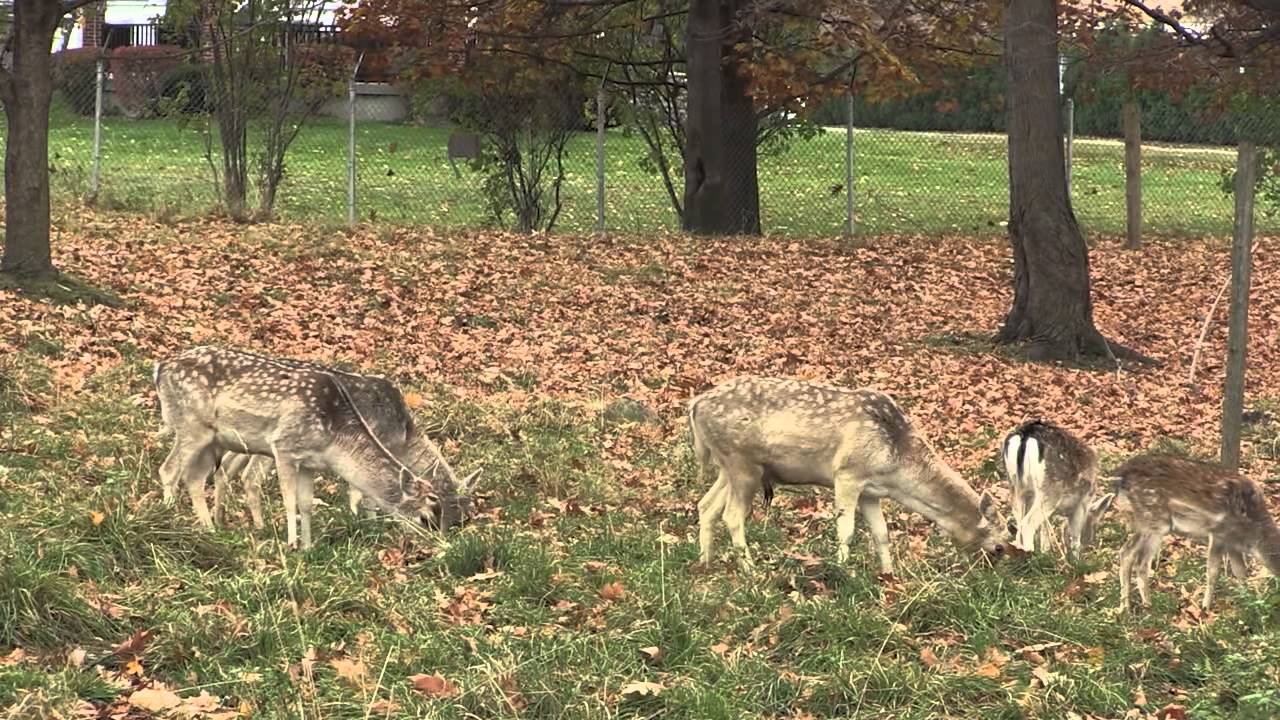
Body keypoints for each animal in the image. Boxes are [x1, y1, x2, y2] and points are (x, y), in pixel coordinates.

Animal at [154, 346, 480, 549]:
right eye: (428, 517)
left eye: (464, 516)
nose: (441, 542)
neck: (402, 434)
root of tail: (160, 368)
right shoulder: (284, 448)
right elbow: (353, 496)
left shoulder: (308, 463)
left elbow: (306, 504)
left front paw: (309, 546)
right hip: (193, 427)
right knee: (172, 470)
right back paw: (169, 520)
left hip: (220, 440)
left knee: (204, 476)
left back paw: (215, 525)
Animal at [689, 376, 1009, 573]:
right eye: (1000, 545)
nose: (994, 565)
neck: (896, 466)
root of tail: (695, 405)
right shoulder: (847, 474)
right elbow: (847, 530)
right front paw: (843, 571)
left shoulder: (871, 492)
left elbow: (882, 534)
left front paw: (889, 574)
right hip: (741, 463)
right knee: (731, 515)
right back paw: (749, 569)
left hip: (731, 467)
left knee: (706, 506)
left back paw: (705, 562)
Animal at [1002, 419, 1115, 558]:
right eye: (1094, 525)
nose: (1090, 542)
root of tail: (1026, 435)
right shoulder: (1083, 501)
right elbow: (1075, 535)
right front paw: (1075, 559)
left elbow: (1045, 531)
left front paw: (1046, 553)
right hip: (1050, 490)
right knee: (1027, 523)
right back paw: (1030, 555)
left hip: (1015, 485)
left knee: (1019, 522)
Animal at [1113, 453, 1280, 612]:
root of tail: (1120, 477)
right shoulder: (1219, 533)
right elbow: (1213, 572)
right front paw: (1205, 607)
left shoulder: (1233, 544)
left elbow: (1240, 571)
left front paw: (1251, 602)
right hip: (1155, 521)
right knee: (1138, 560)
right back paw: (1143, 605)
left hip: (1143, 522)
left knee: (1127, 553)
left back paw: (1128, 606)